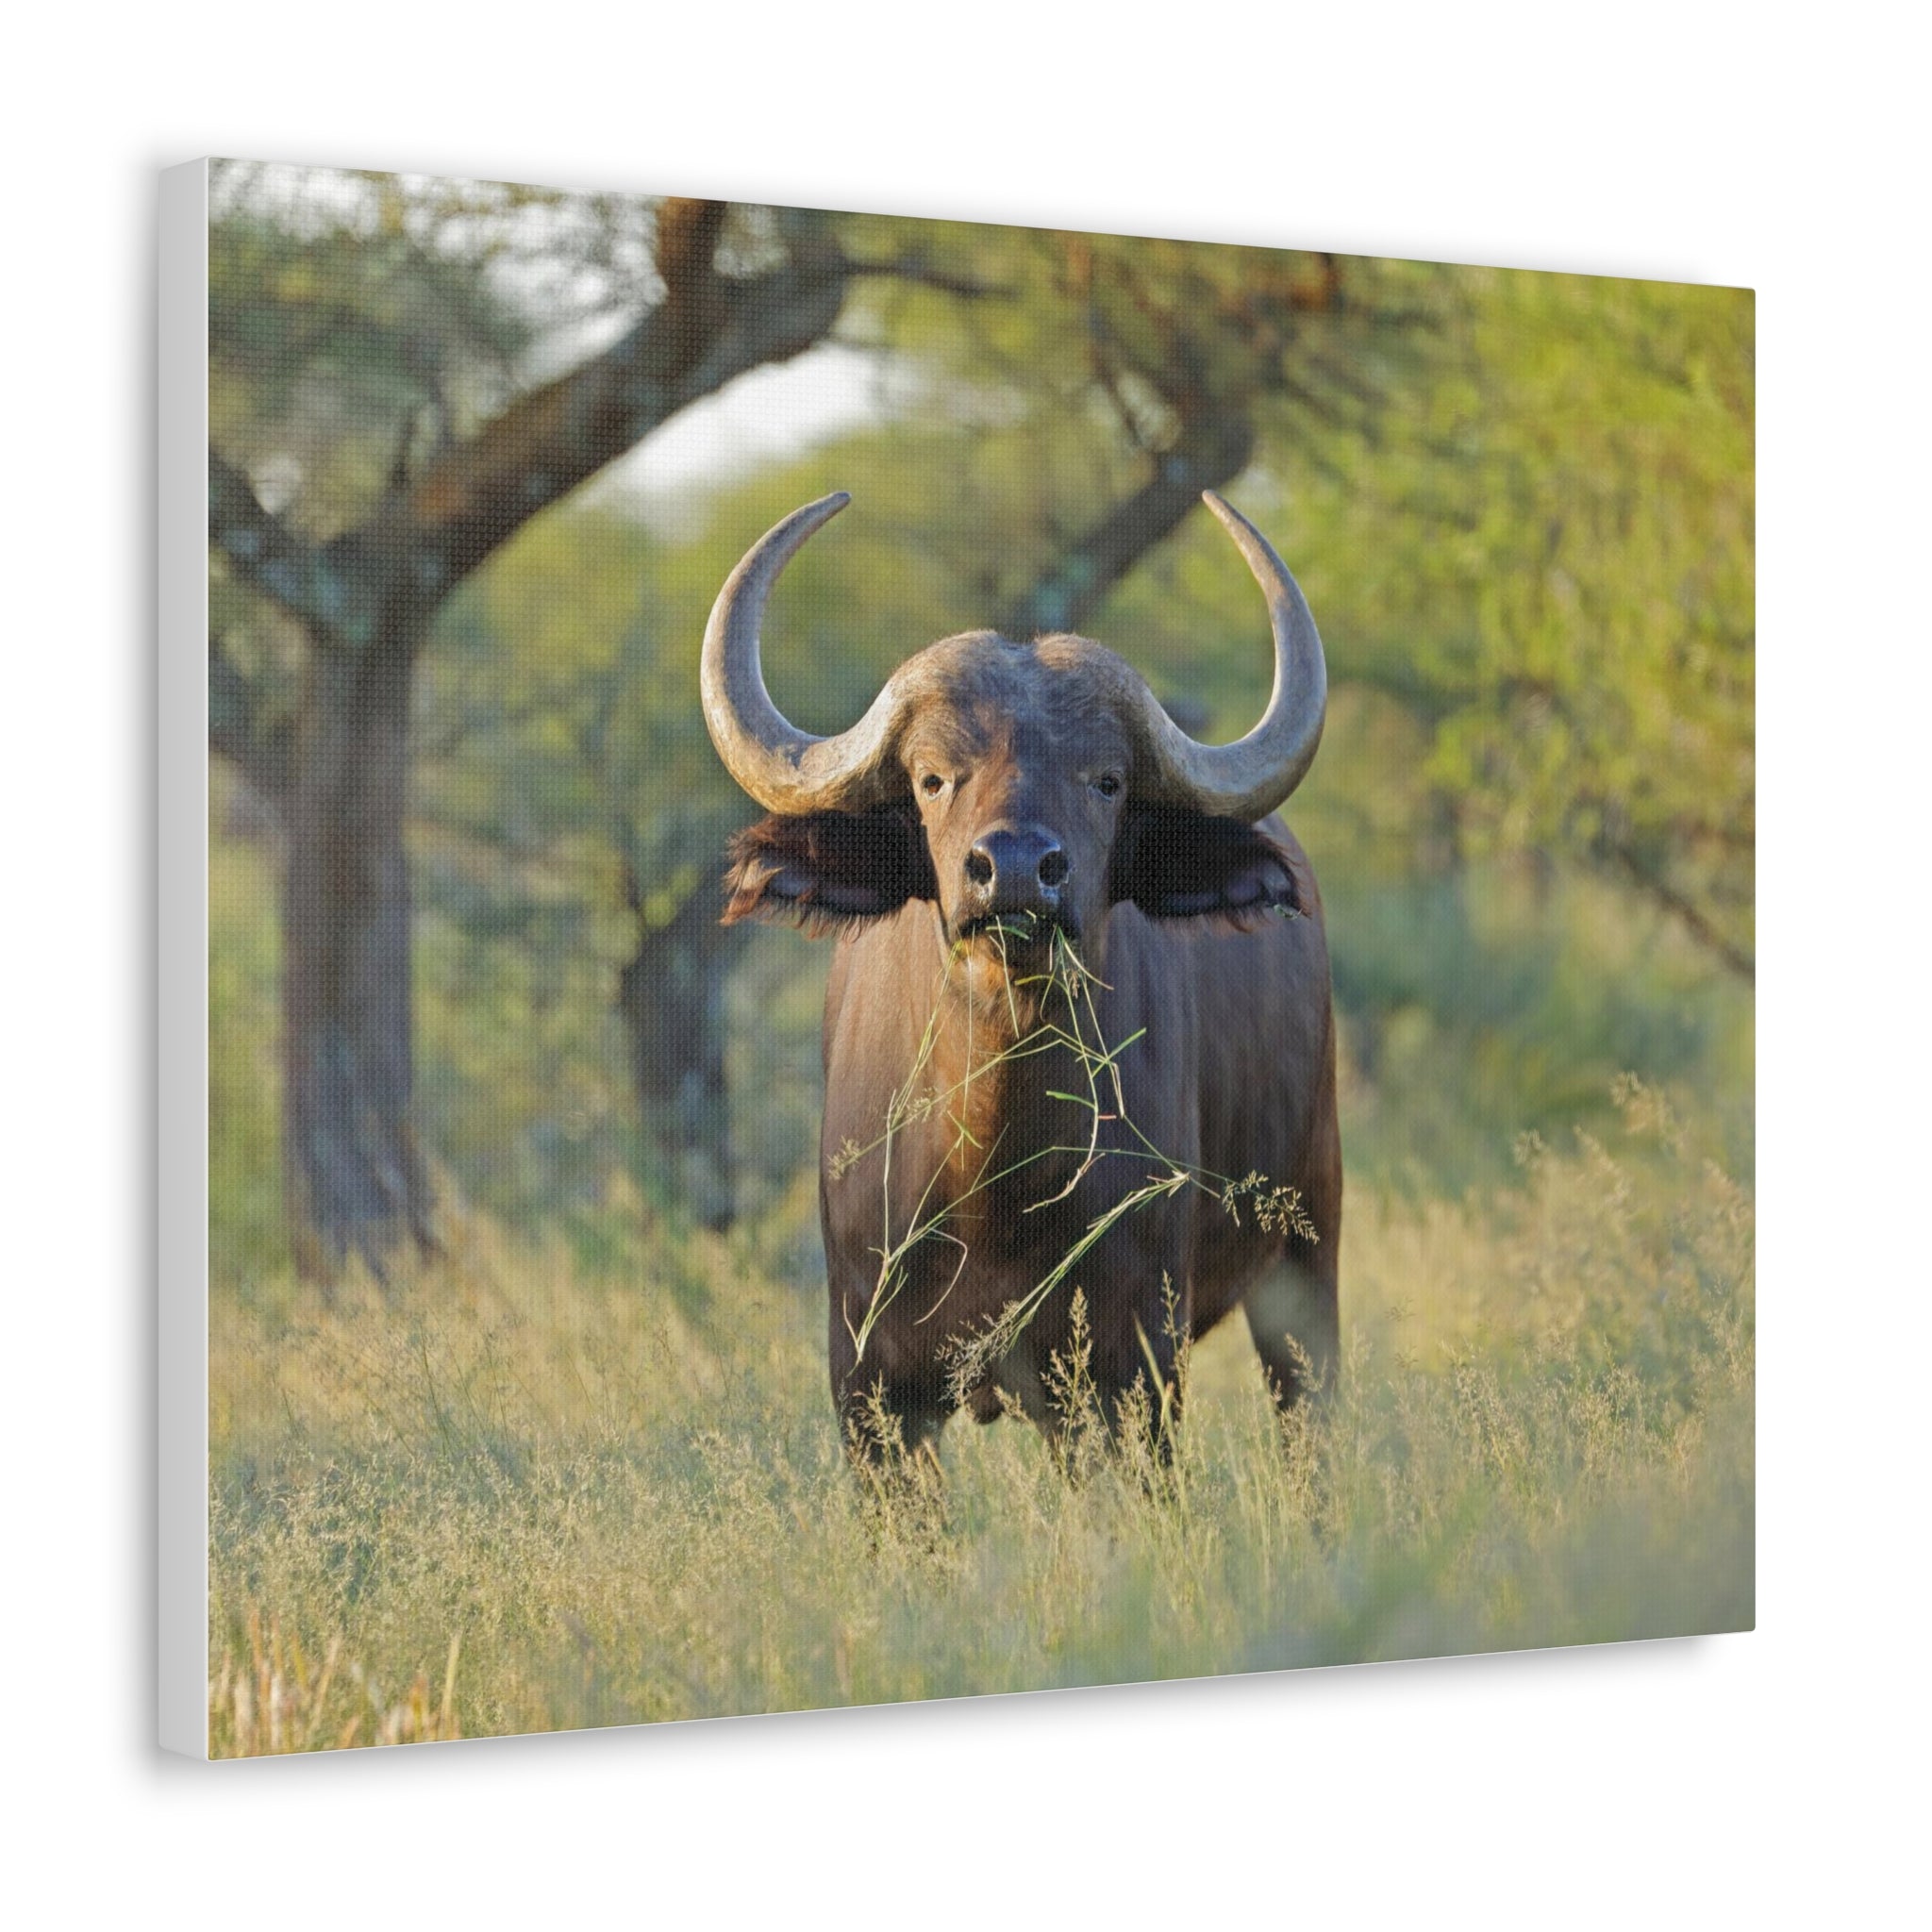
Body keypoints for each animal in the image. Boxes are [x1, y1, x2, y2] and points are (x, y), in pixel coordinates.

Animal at [703, 491, 1339, 1462]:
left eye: (1107, 779)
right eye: (932, 778)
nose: (1011, 872)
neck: (995, 1179)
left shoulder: (1134, 1372)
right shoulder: (871, 1393)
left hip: (1307, 1263)